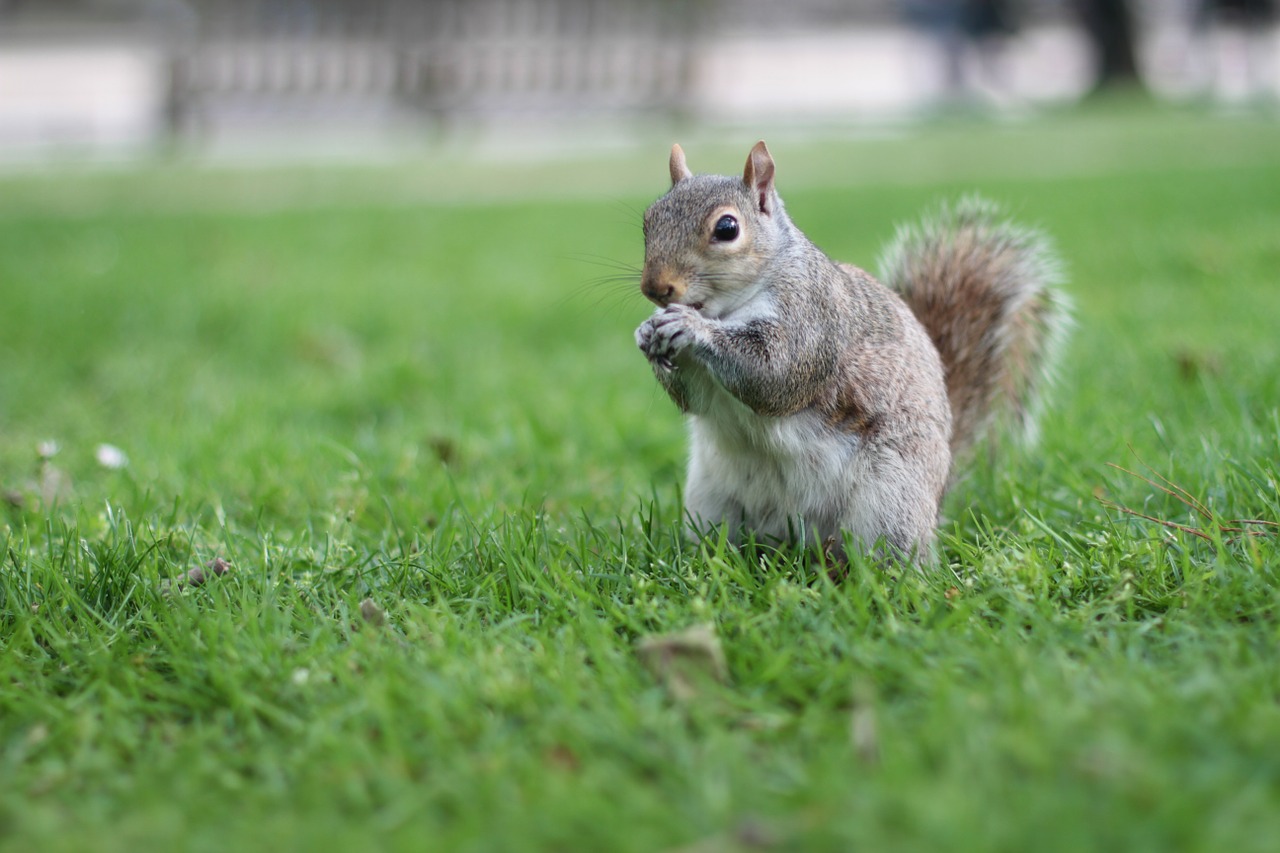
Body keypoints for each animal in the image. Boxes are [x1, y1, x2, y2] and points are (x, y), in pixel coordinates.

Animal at [632, 139, 1070, 558]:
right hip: (711, 500)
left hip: (890, 501)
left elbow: (774, 376)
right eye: (648, 220)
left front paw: (692, 328)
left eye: (727, 228)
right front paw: (647, 333)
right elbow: (695, 399)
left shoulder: (813, 319)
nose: (655, 288)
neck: (726, 308)